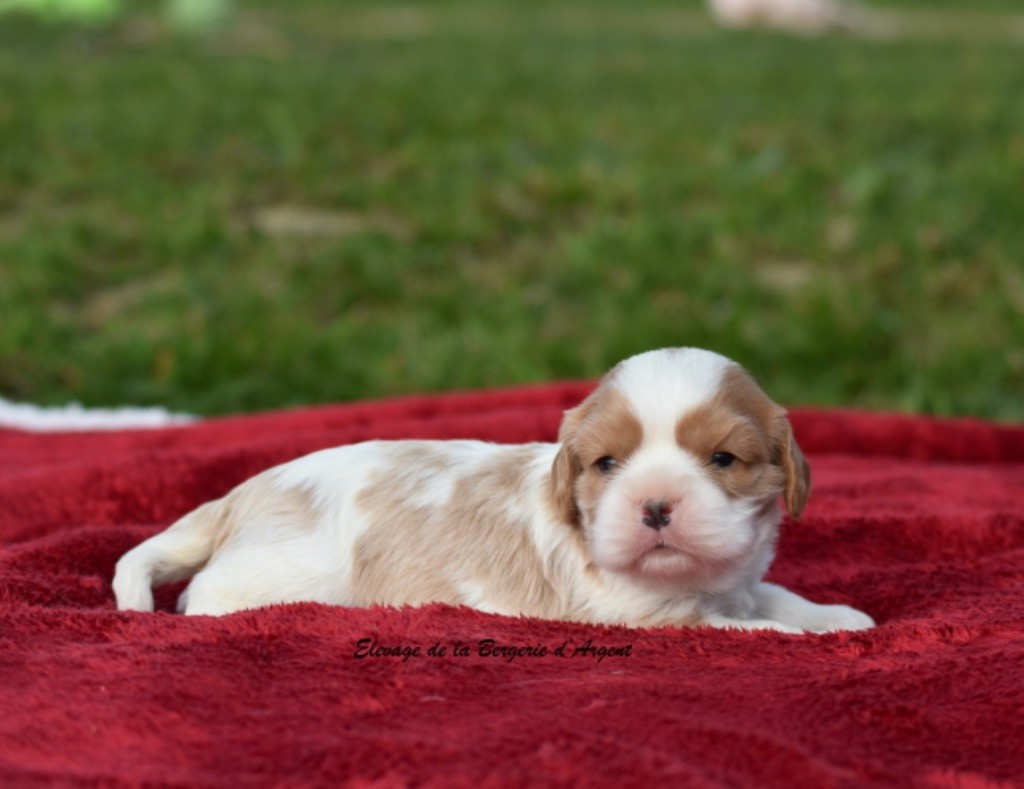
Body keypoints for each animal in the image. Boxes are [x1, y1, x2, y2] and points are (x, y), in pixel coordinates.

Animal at [114, 347, 872, 634]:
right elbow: (750, 627)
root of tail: (238, 496)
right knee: (201, 595)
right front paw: (803, 635)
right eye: (606, 464)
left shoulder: (735, 582)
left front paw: (838, 616)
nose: (656, 505)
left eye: (723, 458)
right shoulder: (648, 614)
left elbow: (774, 596)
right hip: (275, 577)